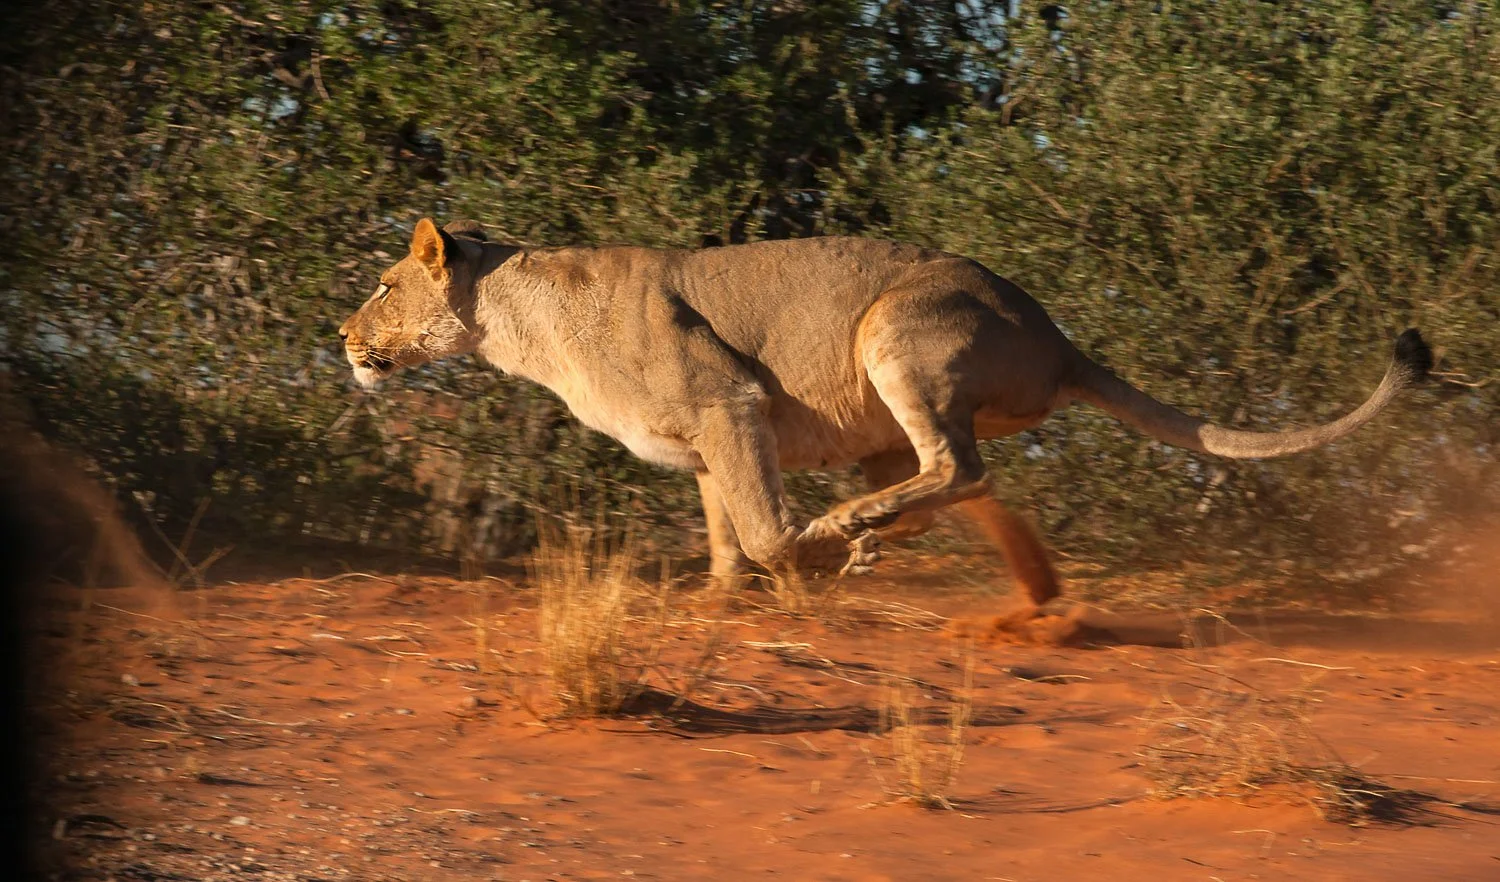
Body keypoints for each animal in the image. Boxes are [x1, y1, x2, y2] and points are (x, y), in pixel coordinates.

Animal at [338, 218, 1431, 607]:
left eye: (386, 284)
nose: (343, 337)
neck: (524, 317)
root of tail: (1058, 336)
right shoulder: (708, 443)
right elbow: (724, 531)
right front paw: (720, 596)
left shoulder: (730, 401)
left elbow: (762, 527)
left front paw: (803, 558)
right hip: (883, 416)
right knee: (953, 489)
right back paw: (909, 550)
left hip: (895, 331)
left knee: (961, 470)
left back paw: (849, 531)